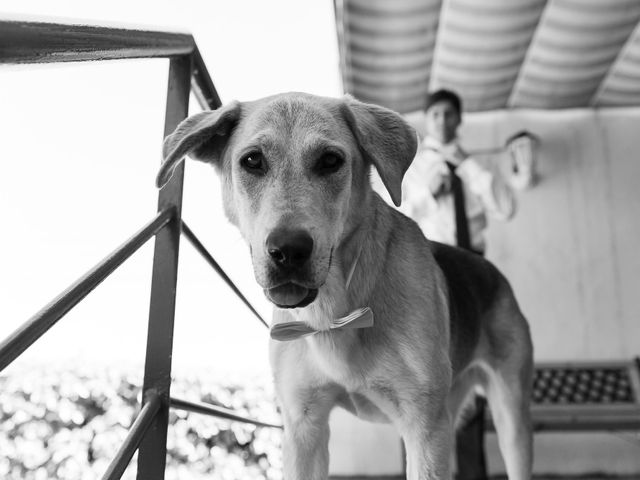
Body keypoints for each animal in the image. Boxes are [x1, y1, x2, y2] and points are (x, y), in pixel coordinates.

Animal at [156, 93, 536, 480]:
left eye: (330, 160)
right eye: (252, 161)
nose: (288, 251)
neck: (334, 311)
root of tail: (491, 270)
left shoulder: (425, 428)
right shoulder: (303, 427)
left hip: (509, 417)